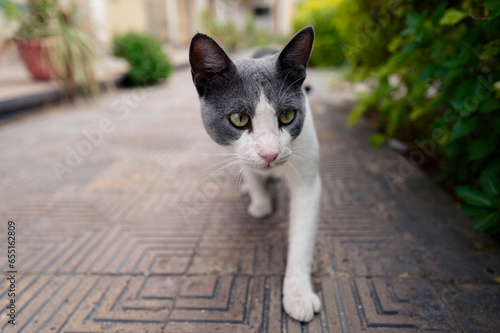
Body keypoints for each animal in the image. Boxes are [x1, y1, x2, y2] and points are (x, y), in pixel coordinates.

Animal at [189, 26, 322, 322]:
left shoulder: (308, 175)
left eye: (287, 115)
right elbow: (249, 170)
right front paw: (260, 203)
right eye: (239, 118)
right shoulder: (240, 153)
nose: (270, 154)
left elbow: (303, 236)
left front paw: (297, 295)